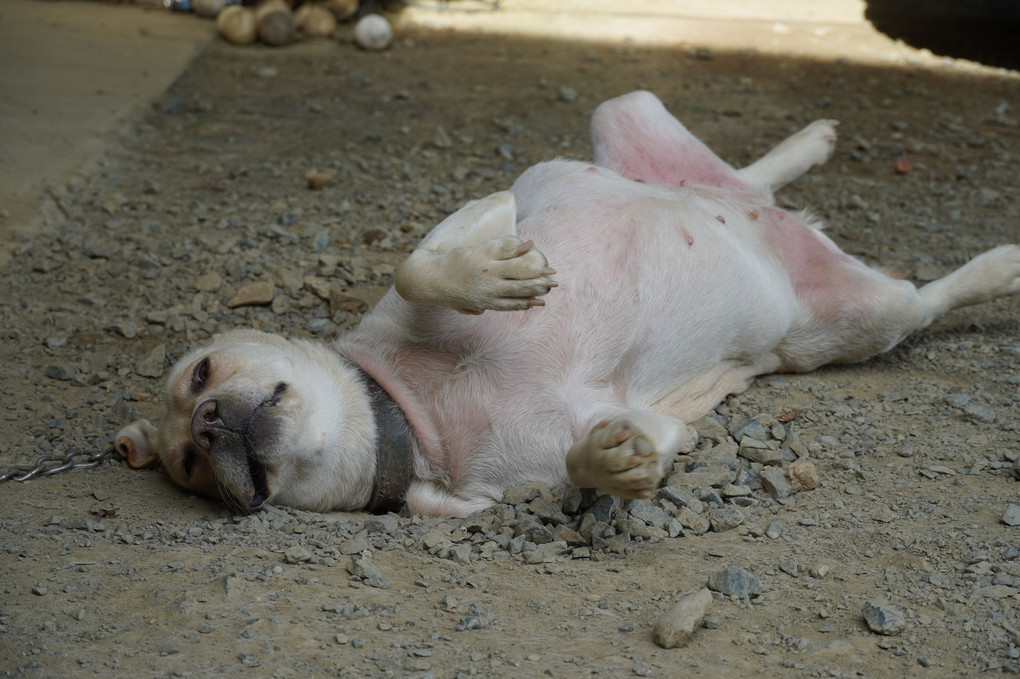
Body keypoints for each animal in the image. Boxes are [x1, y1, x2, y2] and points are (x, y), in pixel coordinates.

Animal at [113, 89, 1020, 513]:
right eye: (191, 467)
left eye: (199, 374)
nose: (207, 424)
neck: (414, 405)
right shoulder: (587, 438)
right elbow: (611, 453)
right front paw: (611, 464)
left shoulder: (493, 209)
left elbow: (416, 267)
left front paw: (489, 283)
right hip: (848, 318)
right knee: (873, 266)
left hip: (623, 126)